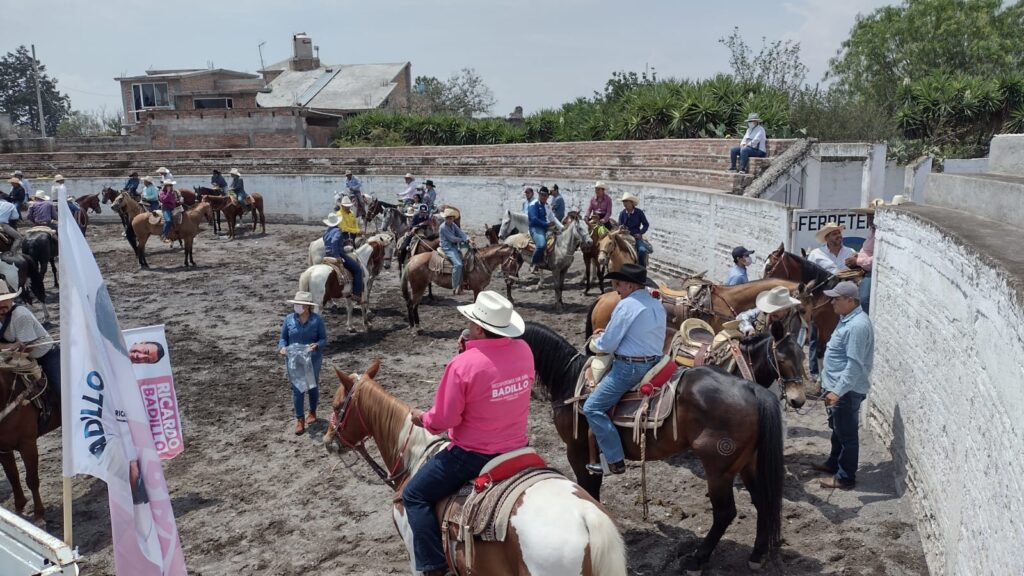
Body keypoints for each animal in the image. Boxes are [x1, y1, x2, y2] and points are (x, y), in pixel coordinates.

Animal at [0, 366, 61, 520]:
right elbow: (13, 477)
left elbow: (32, 479)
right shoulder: (3, 450)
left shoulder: (27, 444)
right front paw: (19, 508)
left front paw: (39, 515)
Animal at [520, 319, 782, 569]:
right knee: (762, 502)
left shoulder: (577, 452)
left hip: (719, 470)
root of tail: (751, 388)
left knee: (725, 512)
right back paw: (757, 554)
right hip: (748, 463)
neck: (569, 378)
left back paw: (697, 560)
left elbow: (589, 490)